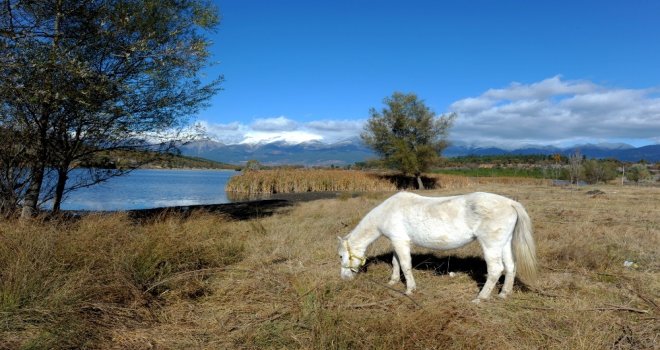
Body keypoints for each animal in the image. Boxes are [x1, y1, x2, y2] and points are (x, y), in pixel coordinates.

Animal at [340, 191, 536, 300]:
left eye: (341, 256)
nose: (344, 278)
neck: (388, 211)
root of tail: (511, 203)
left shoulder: (400, 241)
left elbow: (405, 265)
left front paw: (410, 290)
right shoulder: (397, 241)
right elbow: (396, 263)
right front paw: (393, 281)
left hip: (491, 245)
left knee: (496, 270)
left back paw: (481, 298)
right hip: (504, 244)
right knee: (510, 267)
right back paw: (504, 294)